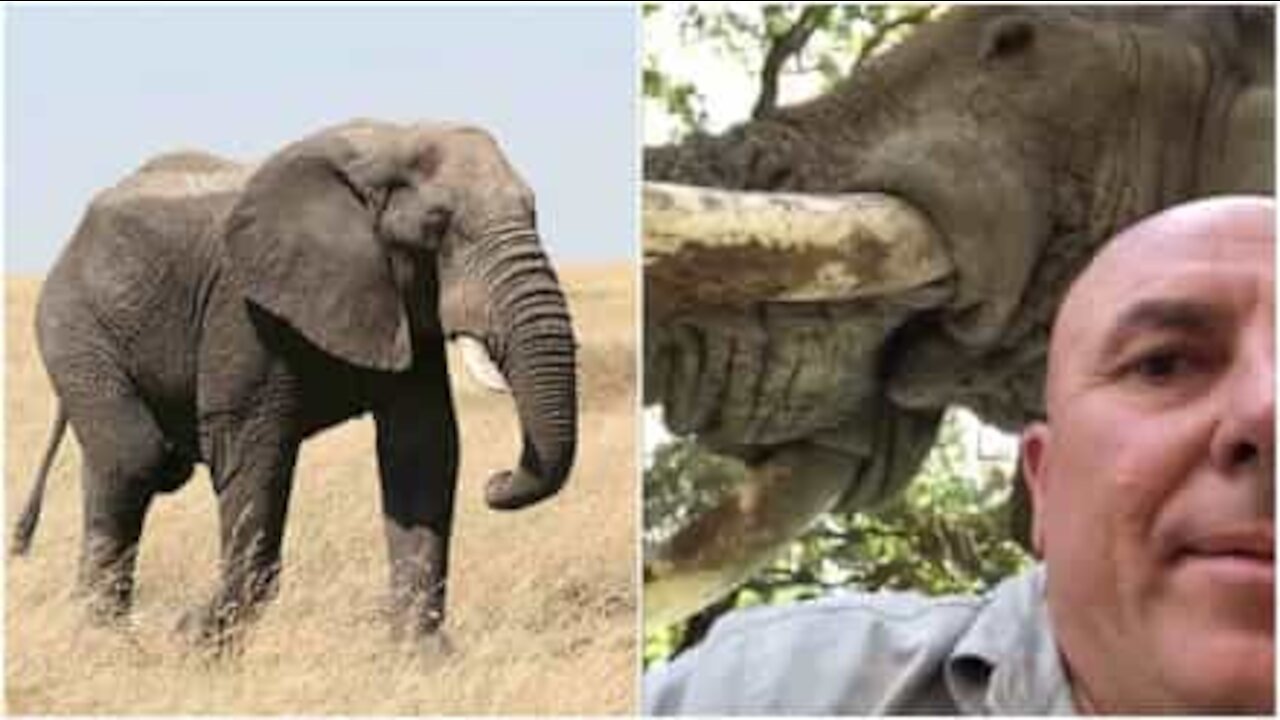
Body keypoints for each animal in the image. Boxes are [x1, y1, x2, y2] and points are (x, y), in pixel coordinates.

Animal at [8, 119, 581, 645]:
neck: (386, 143)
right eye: (438, 226)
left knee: (122, 463)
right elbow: (250, 448)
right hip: (74, 321)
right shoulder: (245, 304)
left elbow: (422, 446)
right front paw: (194, 640)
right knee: (135, 456)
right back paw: (105, 639)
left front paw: (422, 657)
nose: (497, 481)